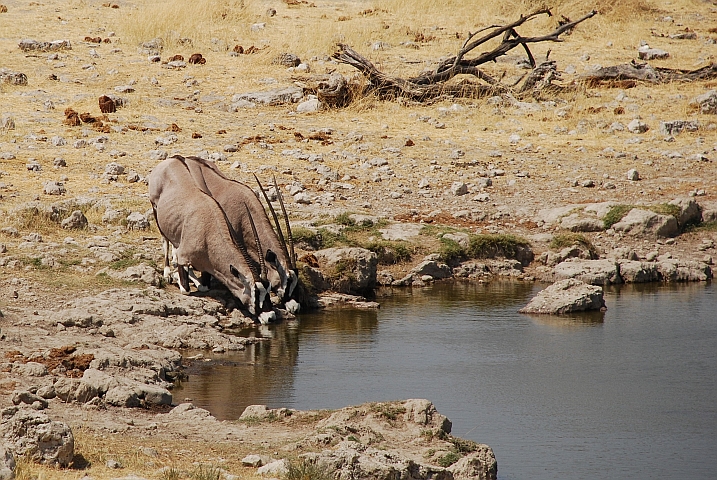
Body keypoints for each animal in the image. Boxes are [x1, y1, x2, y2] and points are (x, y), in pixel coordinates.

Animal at [149, 156, 276, 324]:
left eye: (268, 290)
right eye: (255, 293)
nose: (271, 316)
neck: (208, 233)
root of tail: (172, 159)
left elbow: (204, 286)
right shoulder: (184, 258)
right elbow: (186, 288)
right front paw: (177, 276)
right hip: (156, 209)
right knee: (165, 242)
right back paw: (167, 272)